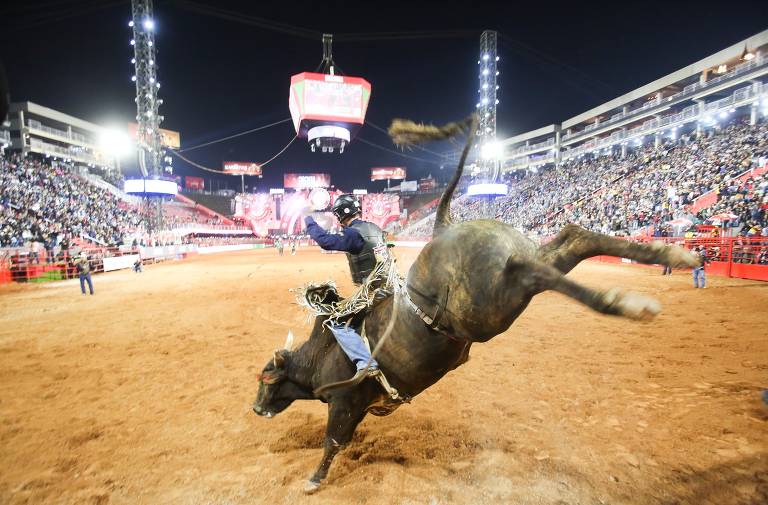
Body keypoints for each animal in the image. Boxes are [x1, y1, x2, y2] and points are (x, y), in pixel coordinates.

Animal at [250, 114, 696, 492]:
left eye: (265, 378)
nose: (255, 409)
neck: (319, 355)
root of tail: (444, 228)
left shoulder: (345, 403)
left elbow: (333, 442)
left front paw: (313, 479)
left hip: (489, 305)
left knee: (534, 272)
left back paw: (623, 301)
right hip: (520, 268)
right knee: (574, 237)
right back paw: (672, 256)